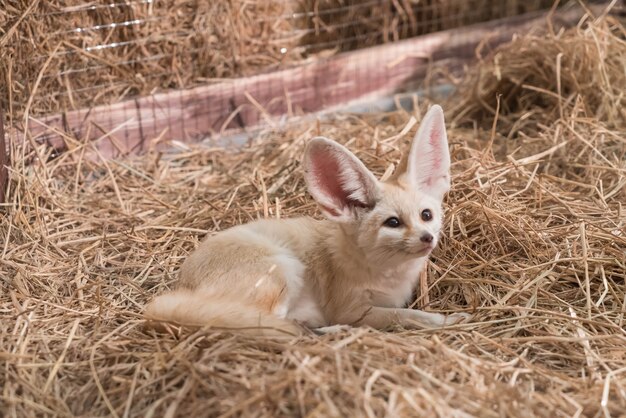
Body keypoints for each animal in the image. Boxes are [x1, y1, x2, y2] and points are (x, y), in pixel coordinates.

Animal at [145, 105, 468, 336]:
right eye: (393, 223)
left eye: (426, 215)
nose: (427, 238)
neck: (387, 272)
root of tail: (177, 289)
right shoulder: (354, 309)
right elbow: (408, 315)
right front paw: (446, 320)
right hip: (284, 270)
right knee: (273, 323)